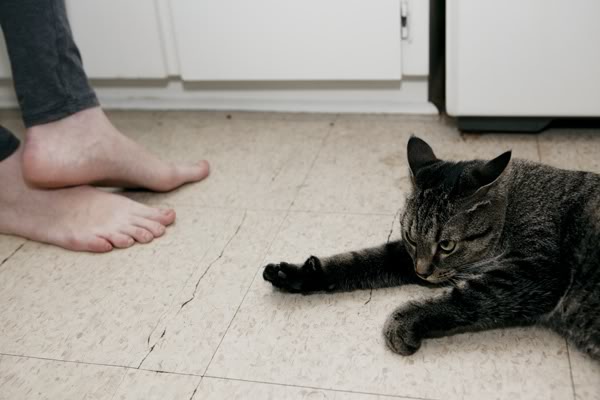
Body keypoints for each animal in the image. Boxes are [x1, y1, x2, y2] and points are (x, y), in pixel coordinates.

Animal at [262, 135, 600, 360]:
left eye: (447, 245)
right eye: (412, 238)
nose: (422, 272)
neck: (509, 211)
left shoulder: (532, 273)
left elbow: (463, 299)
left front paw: (404, 320)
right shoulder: (406, 257)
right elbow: (361, 260)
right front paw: (299, 274)